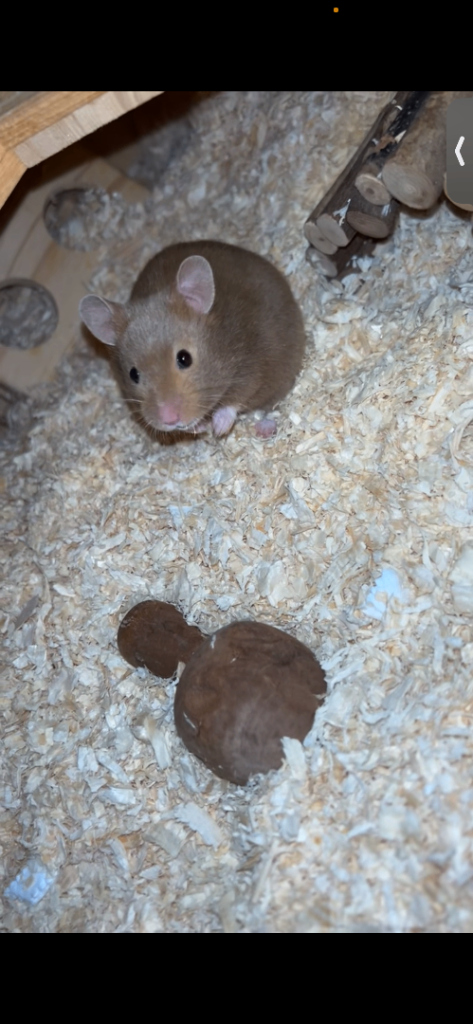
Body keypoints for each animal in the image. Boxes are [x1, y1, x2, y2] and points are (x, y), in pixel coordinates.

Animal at [79, 240, 306, 438]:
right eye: (133, 374)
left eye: (184, 358)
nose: (170, 419)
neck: (222, 342)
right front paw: (201, 428)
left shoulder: (253, 366)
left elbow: (235, 400)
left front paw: (218, 429)